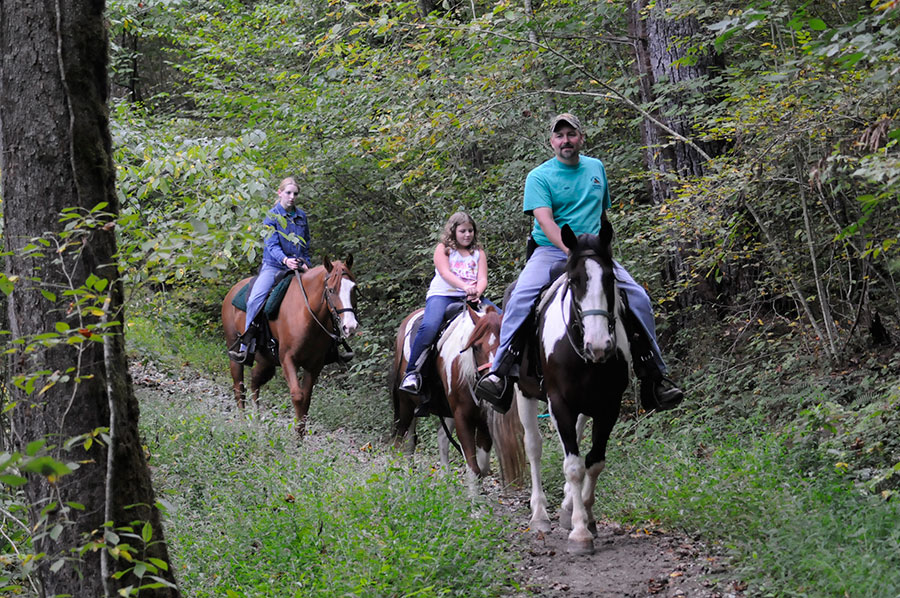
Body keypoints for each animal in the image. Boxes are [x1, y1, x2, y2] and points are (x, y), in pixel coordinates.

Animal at [221, 255, 358, 434]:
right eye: (331, 290)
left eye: (354, 288)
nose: (350, 326)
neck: (306, 315)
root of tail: (232, 290)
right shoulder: (288, 359)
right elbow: (298, 396)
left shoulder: (314, 365)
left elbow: (306, 400)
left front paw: (300, 436)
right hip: (235, 351)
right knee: (239, 388)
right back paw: (244, 425)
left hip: (267, 362)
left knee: (254, 381)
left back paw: (256, 421)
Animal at [512, 223, 632, 556]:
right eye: (574, 281)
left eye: (610, 278)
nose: (598, 345)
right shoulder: (560, 403)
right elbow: (574, 466)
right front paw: (580, 533)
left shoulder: (608, 405)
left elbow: (594, 461)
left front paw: (585, 516)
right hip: (524, 394)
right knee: (534, 447)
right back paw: (540, 515)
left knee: (576, 439)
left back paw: (565, 506)